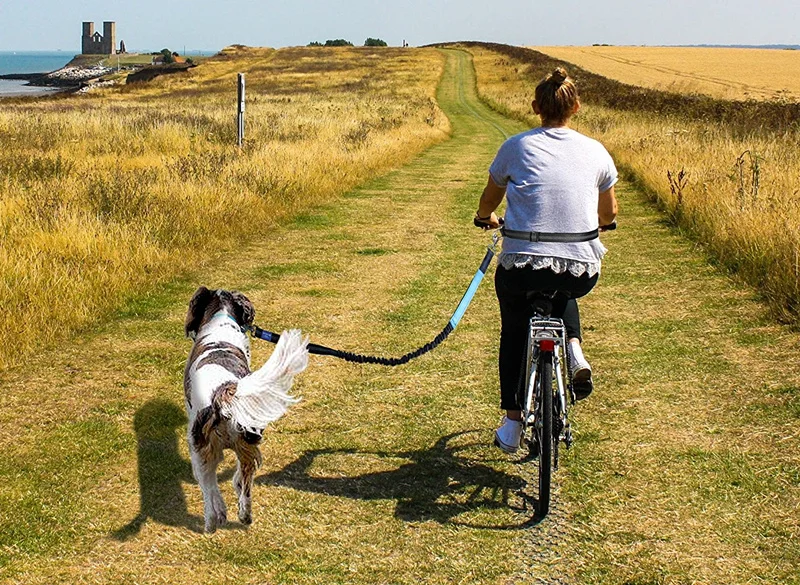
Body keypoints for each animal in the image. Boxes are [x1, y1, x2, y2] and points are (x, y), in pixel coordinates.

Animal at [183, 286, 308, 532]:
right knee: (244, 481)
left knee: (209, 487)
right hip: (248, 443)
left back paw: (211, 522)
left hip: (200, 445)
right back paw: (244, 515)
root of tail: (223, 391)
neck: (220, 318)